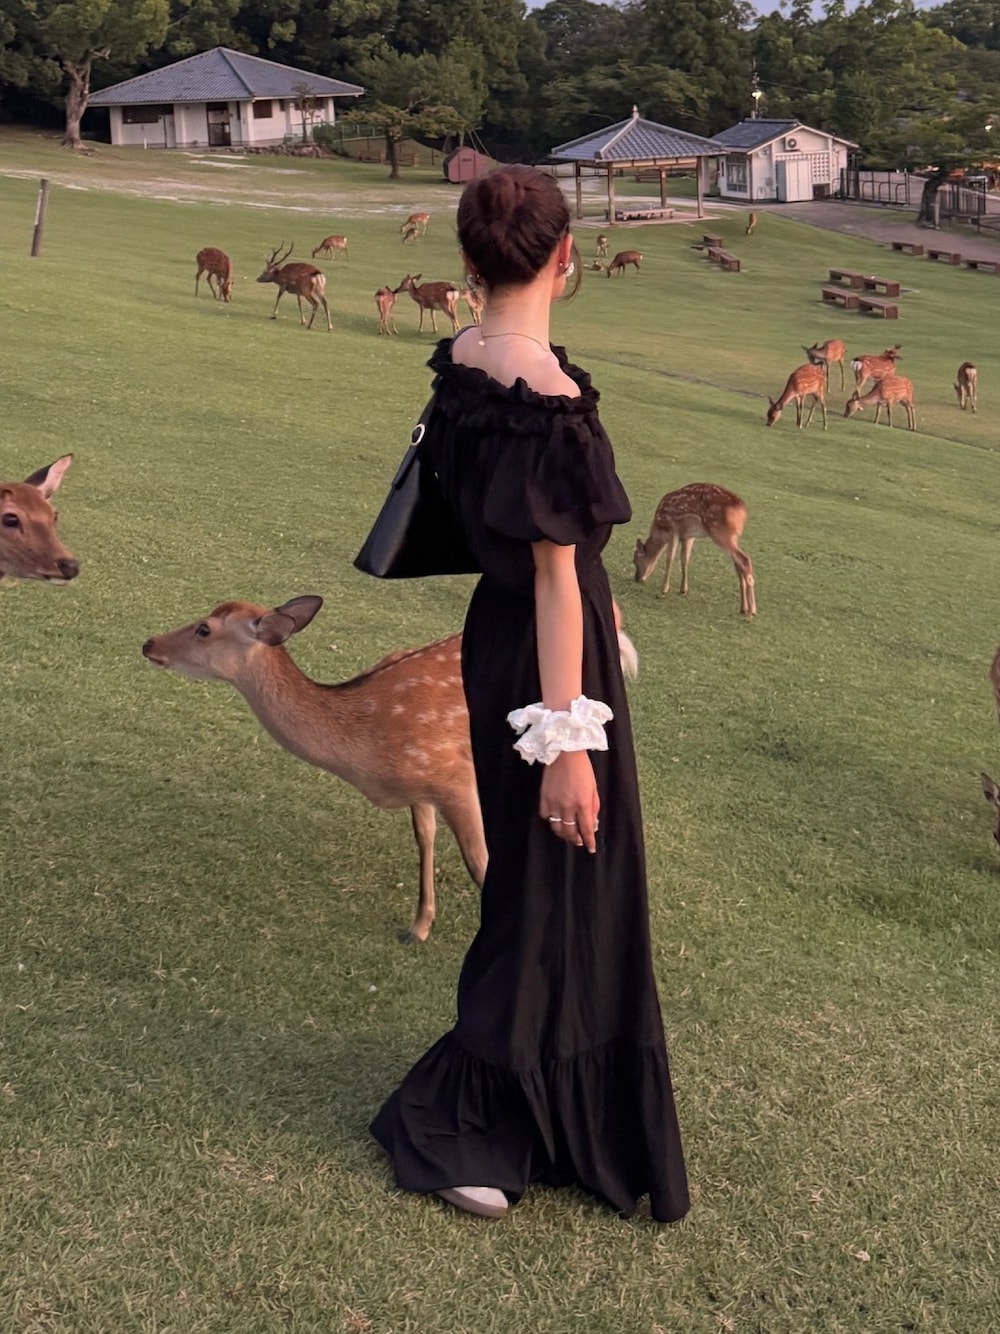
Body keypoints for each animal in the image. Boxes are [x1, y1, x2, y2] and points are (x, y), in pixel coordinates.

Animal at [142, 596, 488, 945]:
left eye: (204, 629)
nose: (149, 643)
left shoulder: (452, 775)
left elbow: (479, 862)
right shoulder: (421, 785)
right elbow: (425, 838)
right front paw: (418, 927)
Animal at [633, 482, 755, 618]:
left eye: (634, 561)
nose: (637, 578)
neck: (660, 528)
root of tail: (742, 512)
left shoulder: (673, 529)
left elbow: (670, 558)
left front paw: (664, 590)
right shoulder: (688, 536)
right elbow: (684, 559)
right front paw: (683, 589)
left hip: (719, 531)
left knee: (745, 559)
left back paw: (752, 610)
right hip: (732, 536)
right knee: (738, 564)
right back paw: (743, 608)